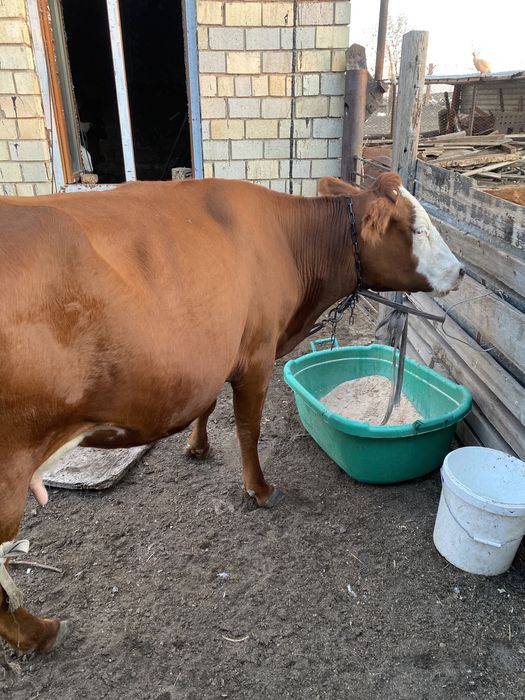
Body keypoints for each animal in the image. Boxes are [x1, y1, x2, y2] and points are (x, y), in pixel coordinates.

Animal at [0, 172, 464, 654]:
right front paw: (259, 489)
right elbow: (248, 428)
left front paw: (197, 447)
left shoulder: (218, 351)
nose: (462, 272)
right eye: (419, 229)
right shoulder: (258, 352)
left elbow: (208, 404)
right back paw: (39, 633)